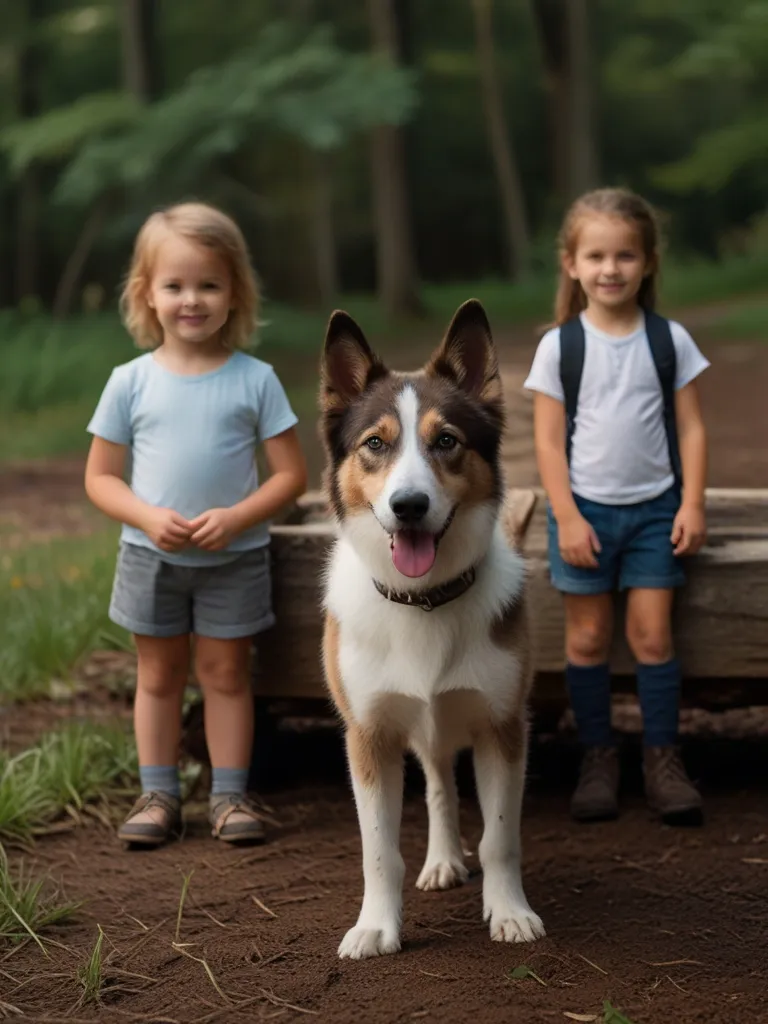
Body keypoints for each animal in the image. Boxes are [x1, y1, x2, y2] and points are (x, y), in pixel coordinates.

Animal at [319, 296, 548, 958]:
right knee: (439, 783)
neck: (422, 602)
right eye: (375, 444)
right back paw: (442, 859)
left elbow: (500, 837)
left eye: (446, 441)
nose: (409, 506)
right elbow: (378, 850)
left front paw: (508, 911)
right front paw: (376, 925)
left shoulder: (503, 727)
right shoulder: (368, 737)